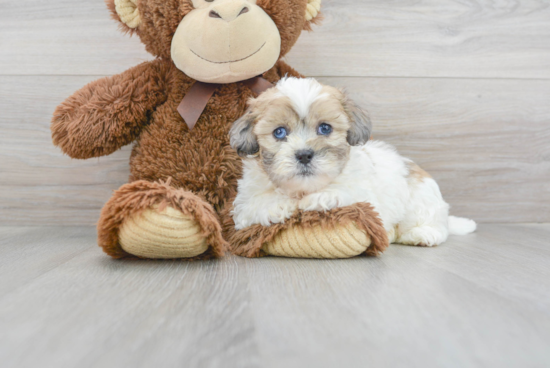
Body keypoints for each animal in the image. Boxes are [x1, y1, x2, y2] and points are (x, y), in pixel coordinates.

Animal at [231, 77, 476, 247]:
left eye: (325, 128)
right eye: (279, 132)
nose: (304, 154)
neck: (303, 189)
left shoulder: (364, 192)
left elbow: (347, 192)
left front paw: (320, 198)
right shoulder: (243, 203)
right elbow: (253, 204)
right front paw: (277, 205)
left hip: (422, 200)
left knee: (433, 224)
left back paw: (422, 233)